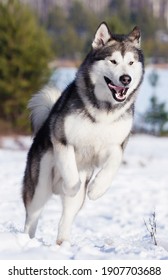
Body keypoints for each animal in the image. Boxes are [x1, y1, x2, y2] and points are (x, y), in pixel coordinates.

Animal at [22, 22, 144, 245]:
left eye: (131, 62)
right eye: (113, 61)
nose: (126, 79)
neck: (103, 111)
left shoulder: (114, 146)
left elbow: (113, 164)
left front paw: (97, 189)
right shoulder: (63, 140)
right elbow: (70, 171)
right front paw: (71, 186)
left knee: (66, 218)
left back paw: (63, 244)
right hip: (39, 185)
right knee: (32, 217)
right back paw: (26, 240)